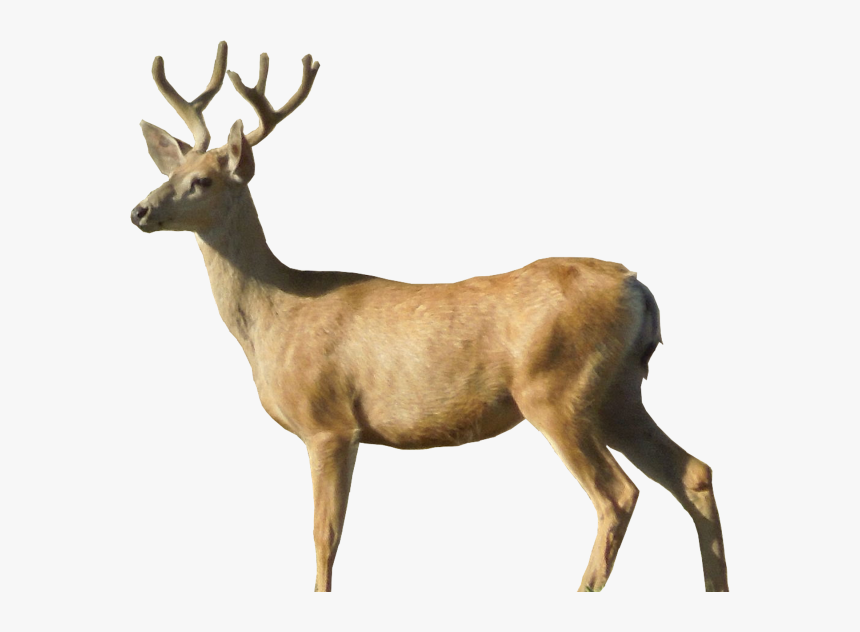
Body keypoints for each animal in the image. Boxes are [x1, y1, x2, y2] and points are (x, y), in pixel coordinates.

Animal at [131, 41, 729, 593]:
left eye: (203, 180)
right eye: (171, 170)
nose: (139, 209)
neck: (276, 315)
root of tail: (637, 286)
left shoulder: (329, 423)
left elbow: (325, 536)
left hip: (556, 389)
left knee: (619, 495)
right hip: (617, 391)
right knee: (693, 472)